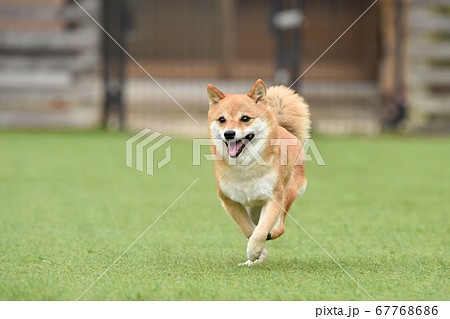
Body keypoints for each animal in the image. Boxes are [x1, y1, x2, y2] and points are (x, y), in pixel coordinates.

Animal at [207, 79, 310, 266]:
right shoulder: (229, 201)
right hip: (253, 209)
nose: (229, 133)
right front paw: (258, 253)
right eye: (222, 120)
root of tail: (284, 128)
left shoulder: (274, 198)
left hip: (288, 193)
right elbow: (248, 230)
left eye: (245, 118)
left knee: (280, 226)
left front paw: (254, 249)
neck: (245, 168)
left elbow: (261, 229)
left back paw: (271, 234)